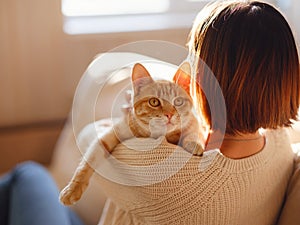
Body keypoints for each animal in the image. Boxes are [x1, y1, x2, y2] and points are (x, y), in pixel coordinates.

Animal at [59, 61, 204, 206]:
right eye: (154, 102)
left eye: (178, 101)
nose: (169, 115)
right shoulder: (110, 135)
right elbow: (87, 162)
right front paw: (72, 189)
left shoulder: (194, 123)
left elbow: (194, 132)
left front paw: (193, 142)